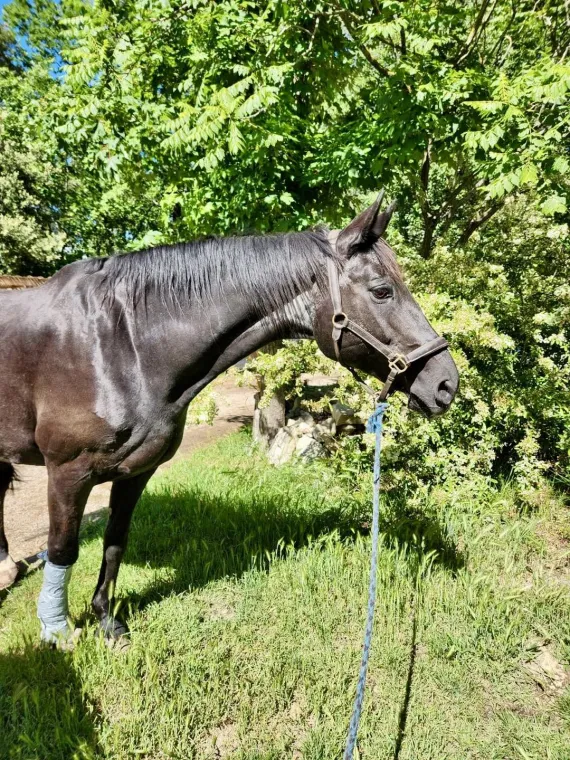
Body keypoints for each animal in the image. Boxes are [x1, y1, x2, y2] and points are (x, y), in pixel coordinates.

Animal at [0, 196, 458, 644]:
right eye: (382, 291)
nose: (446, 384)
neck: (121, 345)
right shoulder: (67, 473)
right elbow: (63, 550)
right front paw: (57, 632)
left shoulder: (136, 472)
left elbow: (115, 542)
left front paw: (107, 622)